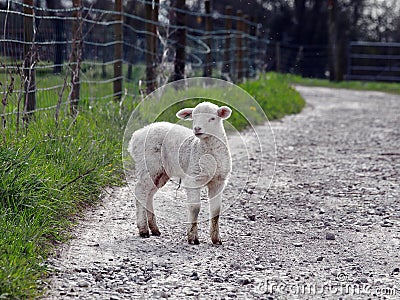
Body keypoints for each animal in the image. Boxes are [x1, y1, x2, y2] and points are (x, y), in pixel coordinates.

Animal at [128, 102, 231, 245]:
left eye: (212, 118)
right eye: (193, 117)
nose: (197, 128)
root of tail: (136, 136)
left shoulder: (219, 182)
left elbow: (216, 210)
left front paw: (216, 239)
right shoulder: (193, 178)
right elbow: (195, 207)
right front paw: (192, 238)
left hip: (161, 172)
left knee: (149, 193)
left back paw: (154, 229)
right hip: (148, 164)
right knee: (141, 191)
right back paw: (143, 230)